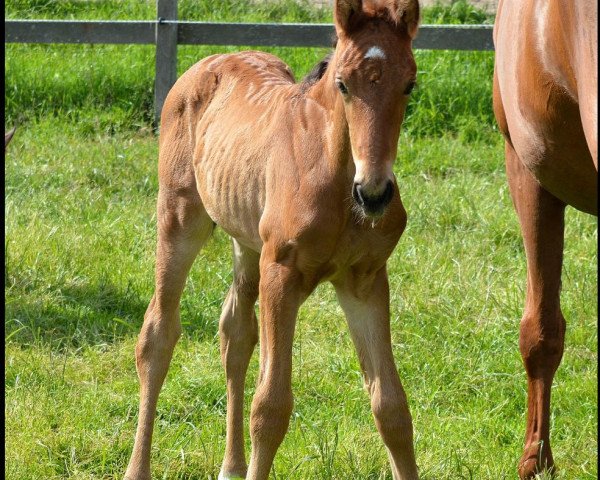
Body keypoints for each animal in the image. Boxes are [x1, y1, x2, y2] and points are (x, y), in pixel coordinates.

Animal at [124, 0, 420, 480]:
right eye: (343, 83)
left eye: (410, 84)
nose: (374, 194)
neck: (334, 180)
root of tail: (211, 60)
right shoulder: (281, 274)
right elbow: (271, 407)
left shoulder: (365, 281)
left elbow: (391, 407)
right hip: (179, 219)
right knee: (157, 334)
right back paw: (138, 467)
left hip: (247, 244)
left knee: (235, 333)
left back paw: (231, 466)